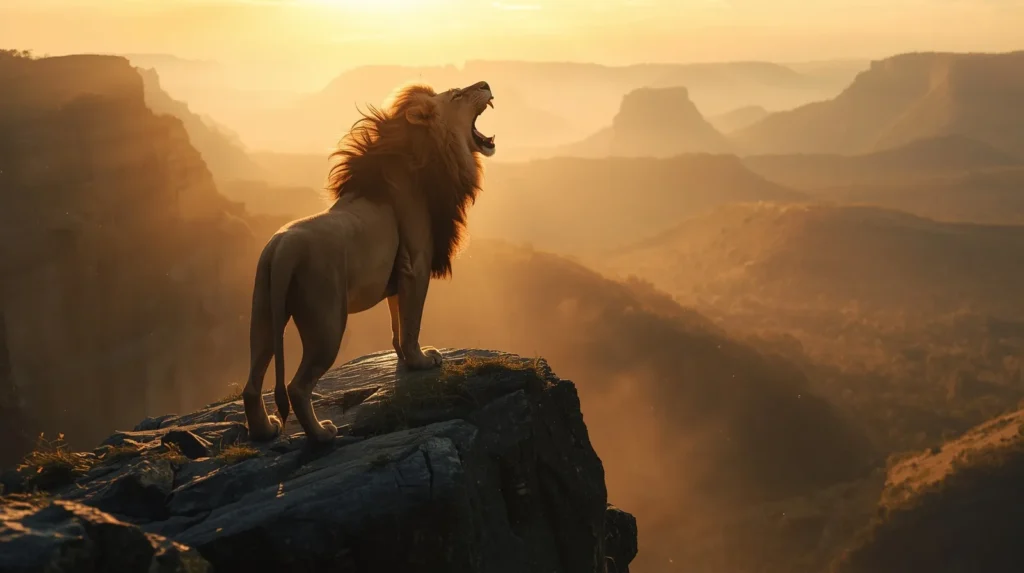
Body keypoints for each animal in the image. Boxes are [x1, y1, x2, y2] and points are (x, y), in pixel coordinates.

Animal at [242, 81, 496, 444]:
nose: (486, 84)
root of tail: (282, 248)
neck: (428, 159)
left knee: (252, 384)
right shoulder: (416, 265)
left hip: (263, 311)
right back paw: (322, 435)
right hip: (327, 324)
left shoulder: (398, 274)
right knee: (297, 387)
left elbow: (397, 322)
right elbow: (412, 322)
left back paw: (265, 431)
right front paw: (421, 360)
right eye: (457, 94)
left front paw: (403, 359)